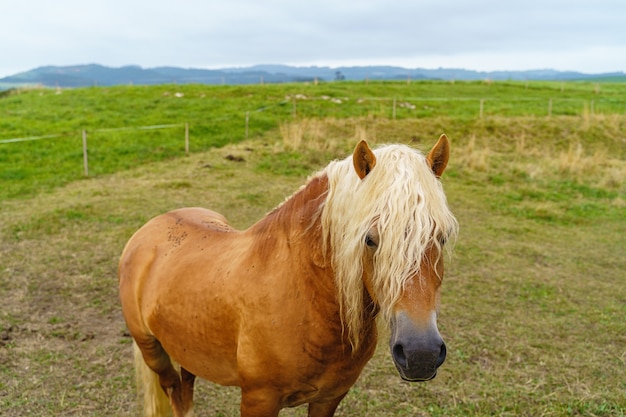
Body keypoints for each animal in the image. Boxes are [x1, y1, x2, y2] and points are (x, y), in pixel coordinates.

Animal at [118, 135, 458, 414]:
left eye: (441, 237)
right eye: (369, 239)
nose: (421, 353)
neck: (306, 296)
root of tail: (149, 229)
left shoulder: (329, 397)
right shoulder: (259, 399)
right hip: (153, 352)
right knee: (175, 391)